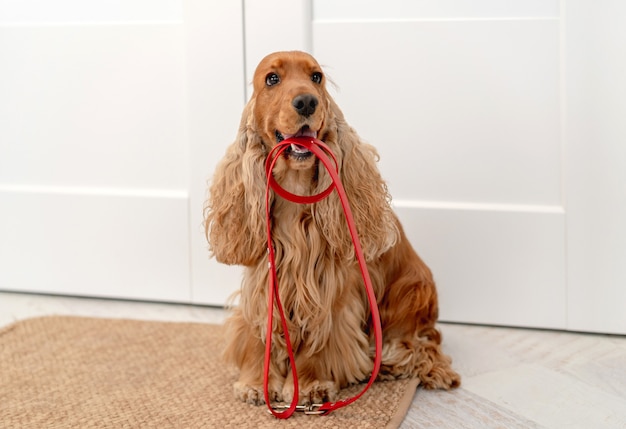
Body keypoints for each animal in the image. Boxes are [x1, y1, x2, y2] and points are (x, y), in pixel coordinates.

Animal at [205, 50, 458, 404]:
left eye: (316, 77)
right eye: (272, 79)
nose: (307, 102)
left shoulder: (332, 290)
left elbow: (322, 336)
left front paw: (311, 384)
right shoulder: (263, 281)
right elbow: (258, 333)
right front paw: (256, 382)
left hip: (412, 293)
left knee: (423, 345)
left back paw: (391, 363)